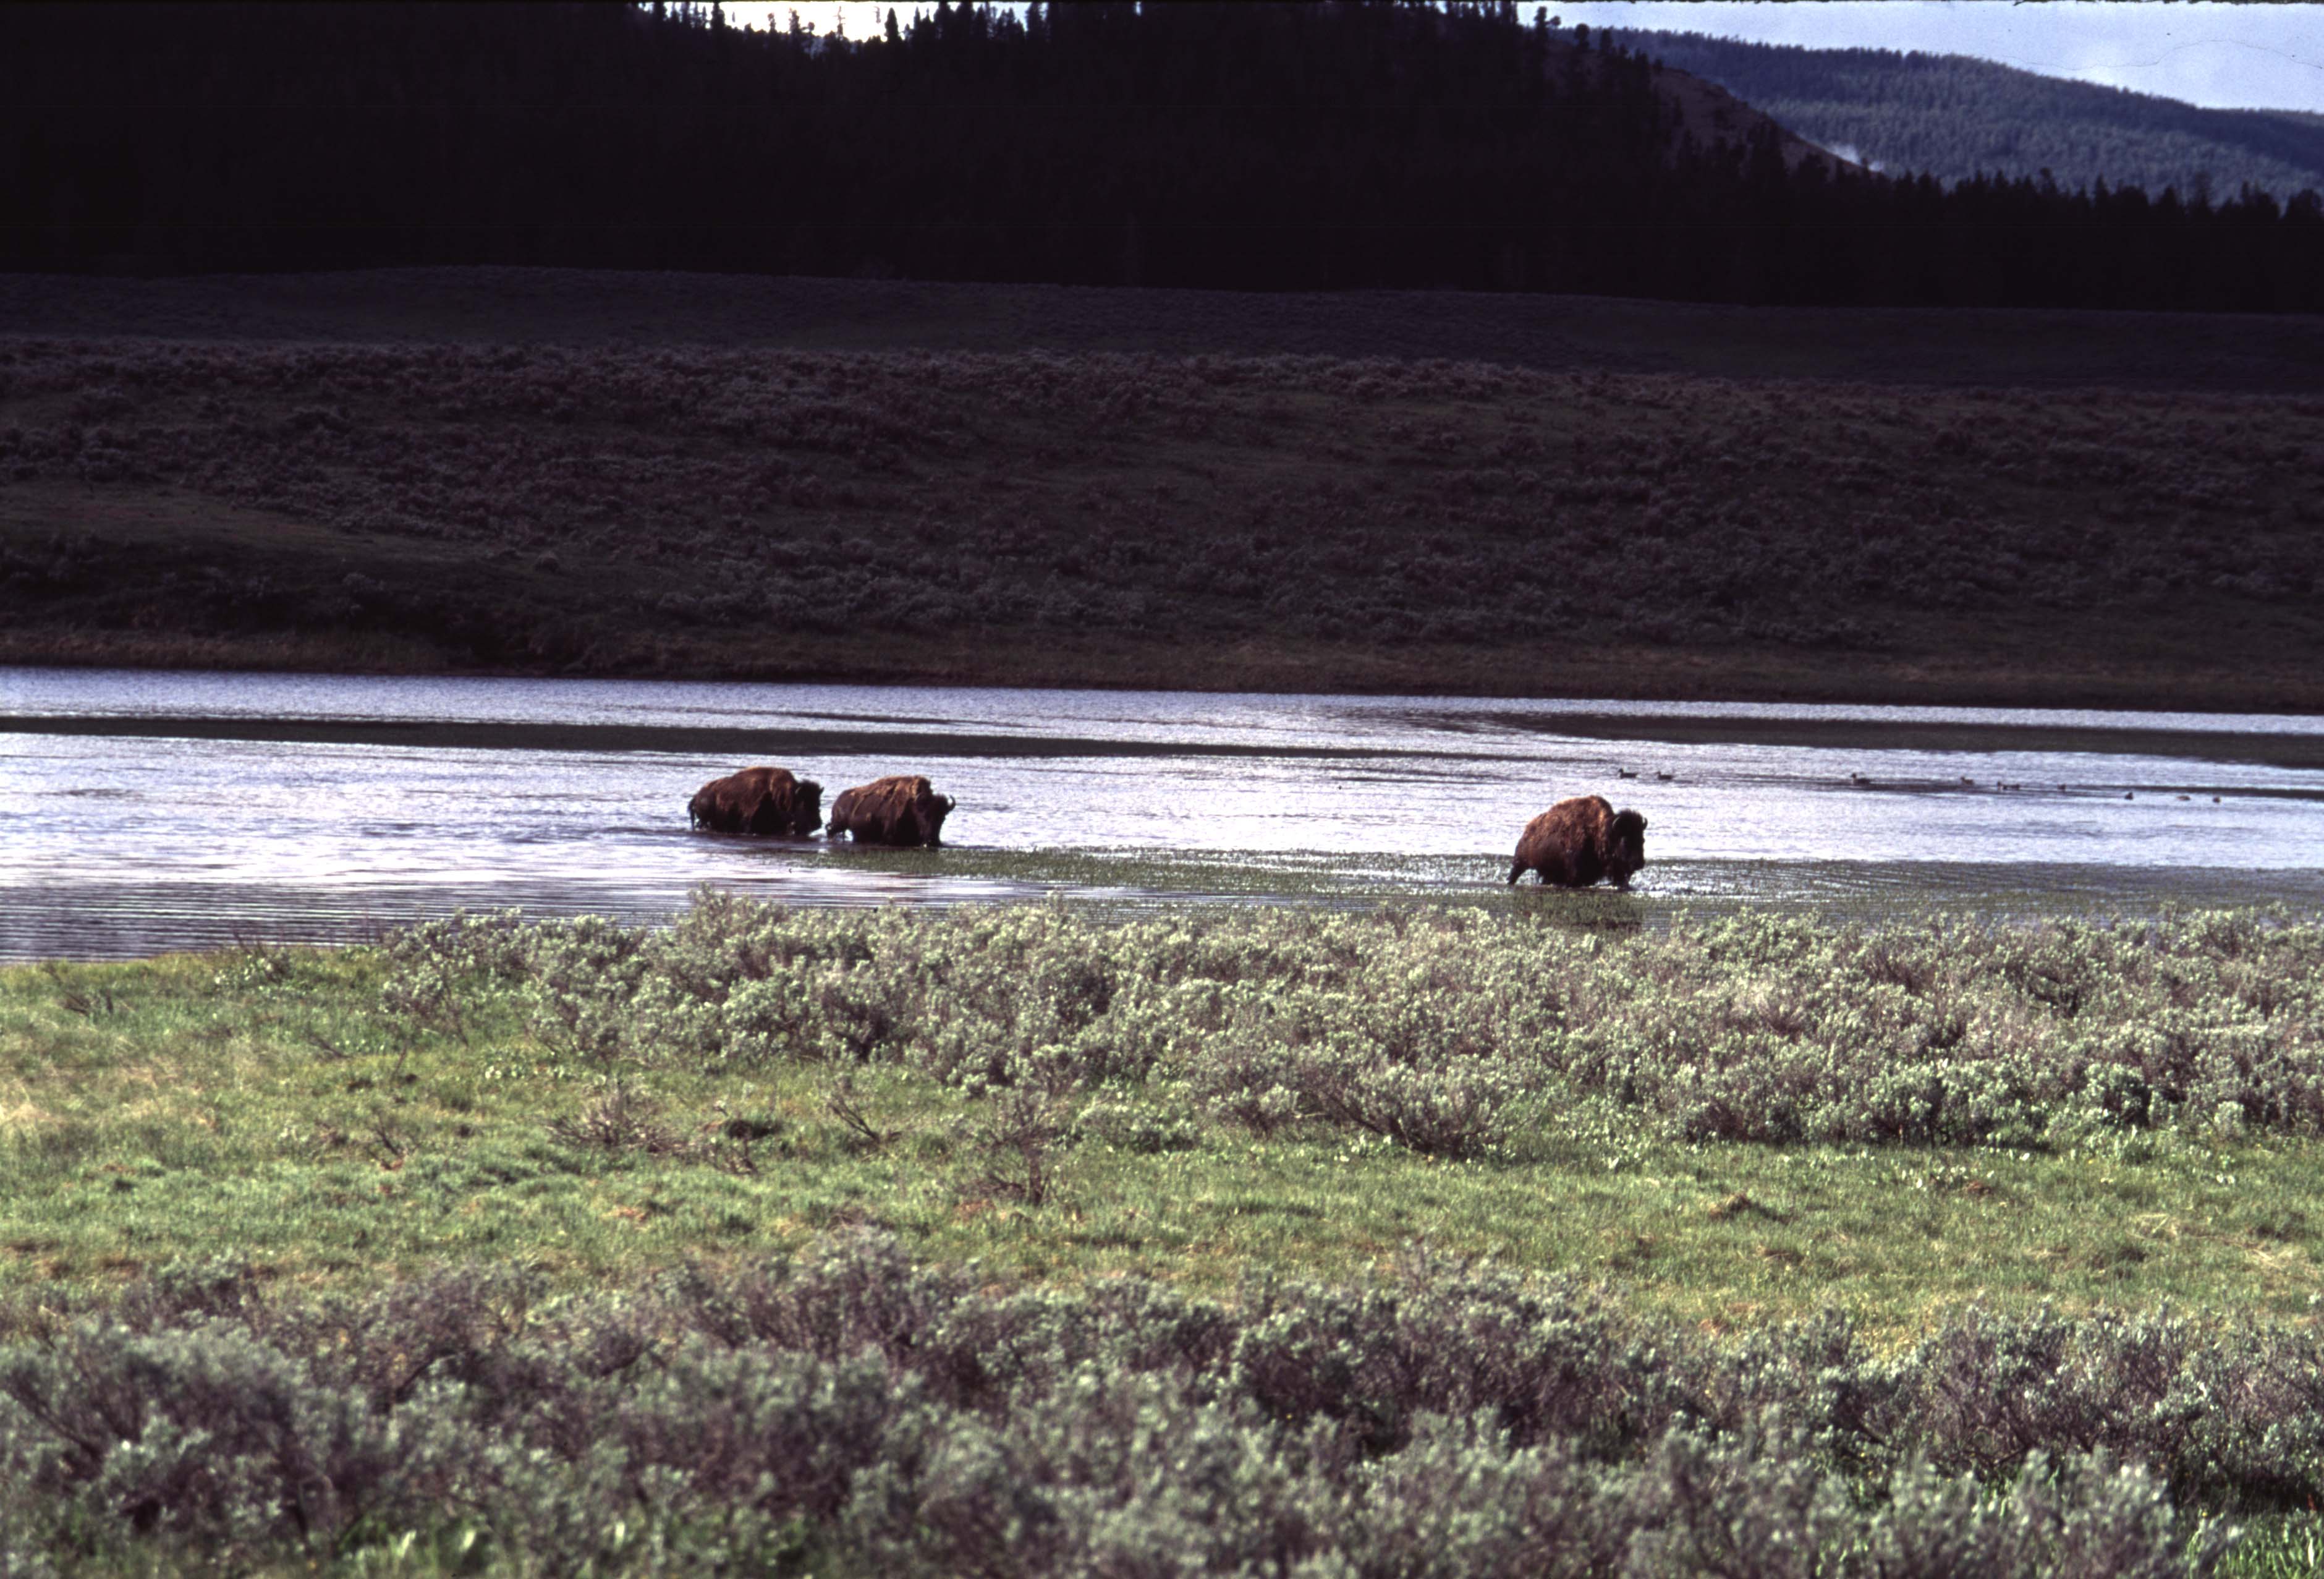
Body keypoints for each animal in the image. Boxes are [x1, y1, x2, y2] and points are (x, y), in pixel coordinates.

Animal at [826, 774, 955, 847]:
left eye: (943, 818)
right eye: (925, 815)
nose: (933, 841)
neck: (913, 807)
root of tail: (837, 802)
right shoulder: (889, 837)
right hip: (838, 825)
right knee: (830, 831)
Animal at [1508, 794, 1647, 888]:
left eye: (1643, 840)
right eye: (1625, 841)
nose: (1639, 863)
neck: (1600, 833)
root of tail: (1528, 829)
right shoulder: (1575, 874)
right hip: (1520, 863)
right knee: (1514, 873)